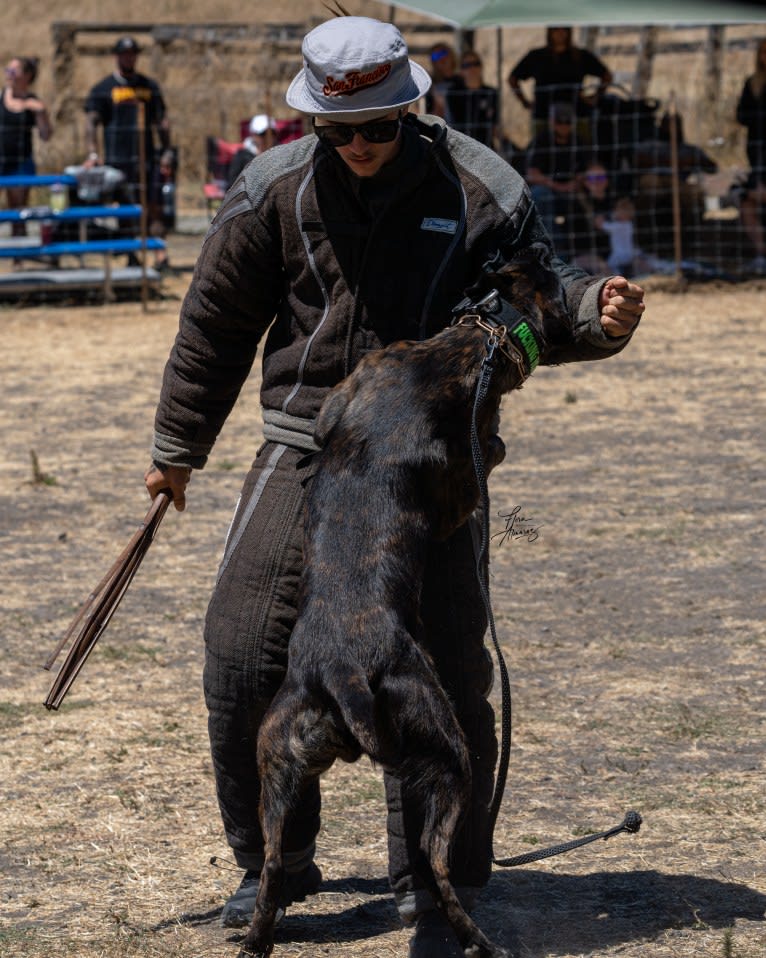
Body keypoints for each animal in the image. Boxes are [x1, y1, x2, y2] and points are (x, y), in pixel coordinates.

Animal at [240, 244, 568, 956]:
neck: (469, 341)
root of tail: (342, 672)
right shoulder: (461, 484)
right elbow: (487, 455)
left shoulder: (348, 392)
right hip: (447, 752)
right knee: (439, 864)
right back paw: (474, 936)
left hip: (276, 761)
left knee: (274, 861)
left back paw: (257, 935)